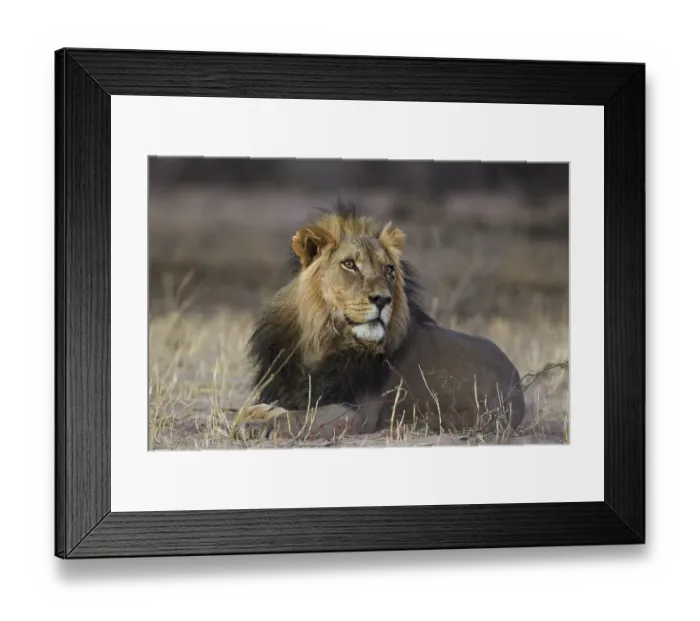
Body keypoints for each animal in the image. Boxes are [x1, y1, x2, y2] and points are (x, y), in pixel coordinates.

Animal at [233, 203, 526, 442]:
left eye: (389, 269)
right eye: (349, 264)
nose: (383, 299)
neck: (319, 342)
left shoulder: (357, 414)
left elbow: (298, 417)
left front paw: (256, 426)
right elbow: (265, 407)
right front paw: (250, 415)